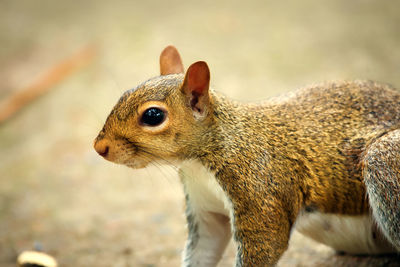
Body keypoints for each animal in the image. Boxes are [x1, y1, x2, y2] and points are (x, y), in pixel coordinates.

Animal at [93, 46, 400, 266]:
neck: (199, 162)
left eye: (153, 116)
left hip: (384, 161)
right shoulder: (205, 211)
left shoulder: (258, 192)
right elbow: (204, 249)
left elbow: (266, 243)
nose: (99, 147)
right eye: (123, 94)